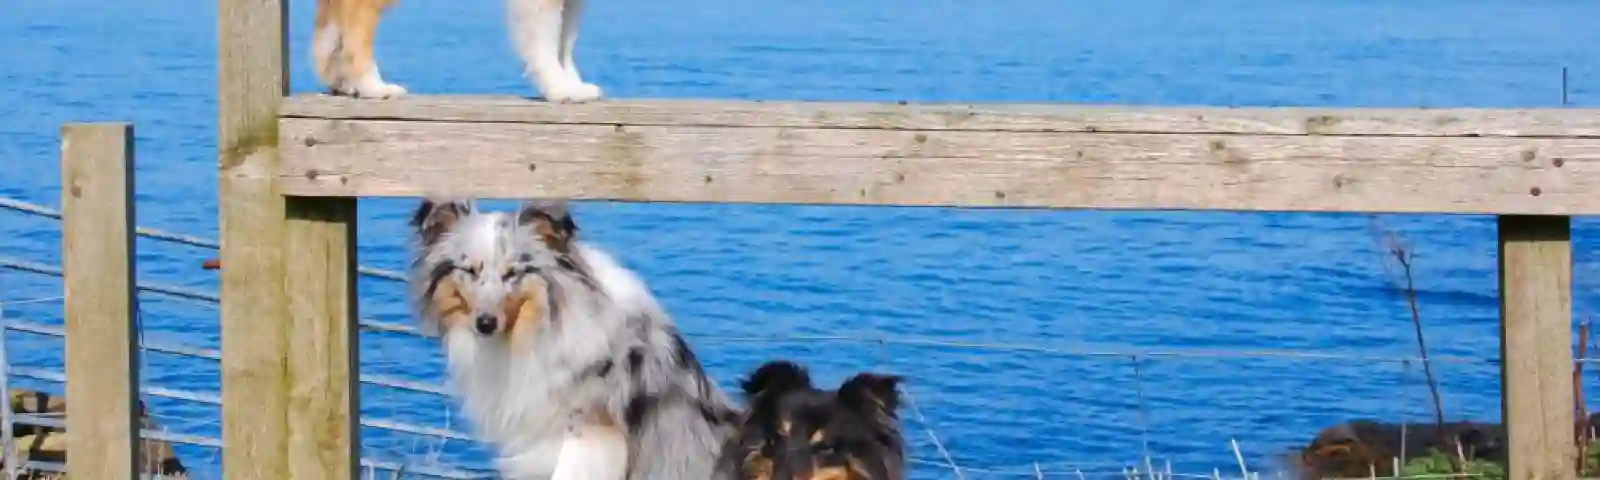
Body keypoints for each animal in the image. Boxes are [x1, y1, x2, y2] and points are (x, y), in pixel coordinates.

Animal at [313, 0, 603, 102]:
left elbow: (565, 41)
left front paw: (574, 86)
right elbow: (546, 40)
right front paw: (558, 89)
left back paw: (345, 83)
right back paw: (373, 86)